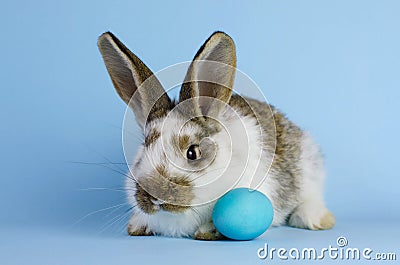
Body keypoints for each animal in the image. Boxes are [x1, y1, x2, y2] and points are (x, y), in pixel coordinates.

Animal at [97, 30, 334, 239]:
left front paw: (208, 231)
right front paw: (137, 226)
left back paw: (315, 219)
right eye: (145, 148)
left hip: (310, 169)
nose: (154, 196)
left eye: (192, 153)